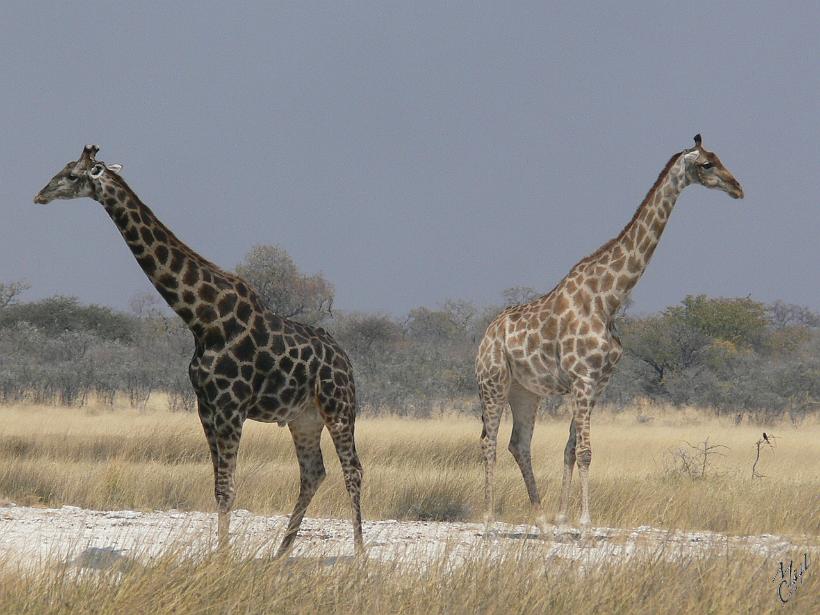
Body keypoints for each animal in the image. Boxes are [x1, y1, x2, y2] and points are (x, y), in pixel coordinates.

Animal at [34, 145, 364, 556]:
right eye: (63, 169)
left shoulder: (231, 406)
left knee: (353, 471)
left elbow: (228, 489)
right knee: (313, 472)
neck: (204, 319)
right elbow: (218, 488)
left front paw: (223, 560)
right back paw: (280, 554)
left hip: (339, 408)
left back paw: (359, 556)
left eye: (73, 175)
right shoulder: (205, 406)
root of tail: (345, 361)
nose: (40, 195)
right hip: (304, 417)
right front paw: (220, 556)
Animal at [475, 135, 743, 530]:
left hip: (525, 391)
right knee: (489, 443)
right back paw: (489, 516)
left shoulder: (597, 383)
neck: (609, 298)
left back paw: (539, 517)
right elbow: (586, 451)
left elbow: (571, 449)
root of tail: (485, 337)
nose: (737, 187)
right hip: (492, 382)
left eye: (719, 158)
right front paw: (585, 521)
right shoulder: (583, 379)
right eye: (707, 164)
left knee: (518, 443)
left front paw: (562, 517)